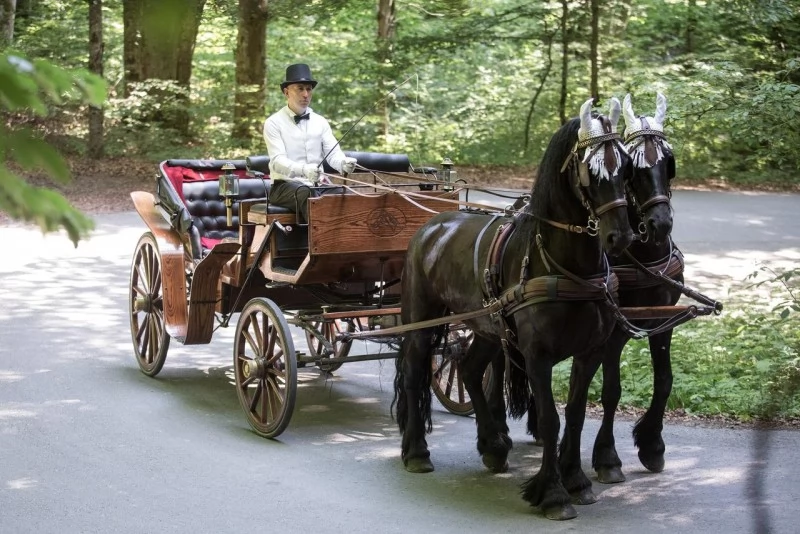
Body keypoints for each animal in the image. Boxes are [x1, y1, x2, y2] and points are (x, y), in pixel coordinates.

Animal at [390, 98, 636, 520]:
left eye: (625, 166)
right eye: (591, 170)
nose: (620, 237)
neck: (562, 266)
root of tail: (433, 224)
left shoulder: (589, 351)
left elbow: (574, 414)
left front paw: (577, 480)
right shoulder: (536, 355)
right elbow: (551, 420)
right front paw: (553, 493)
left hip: (486, 327)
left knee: (470, 370)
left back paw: (493, 446)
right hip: (421, 322)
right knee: (413, 373)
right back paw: (417, 452)